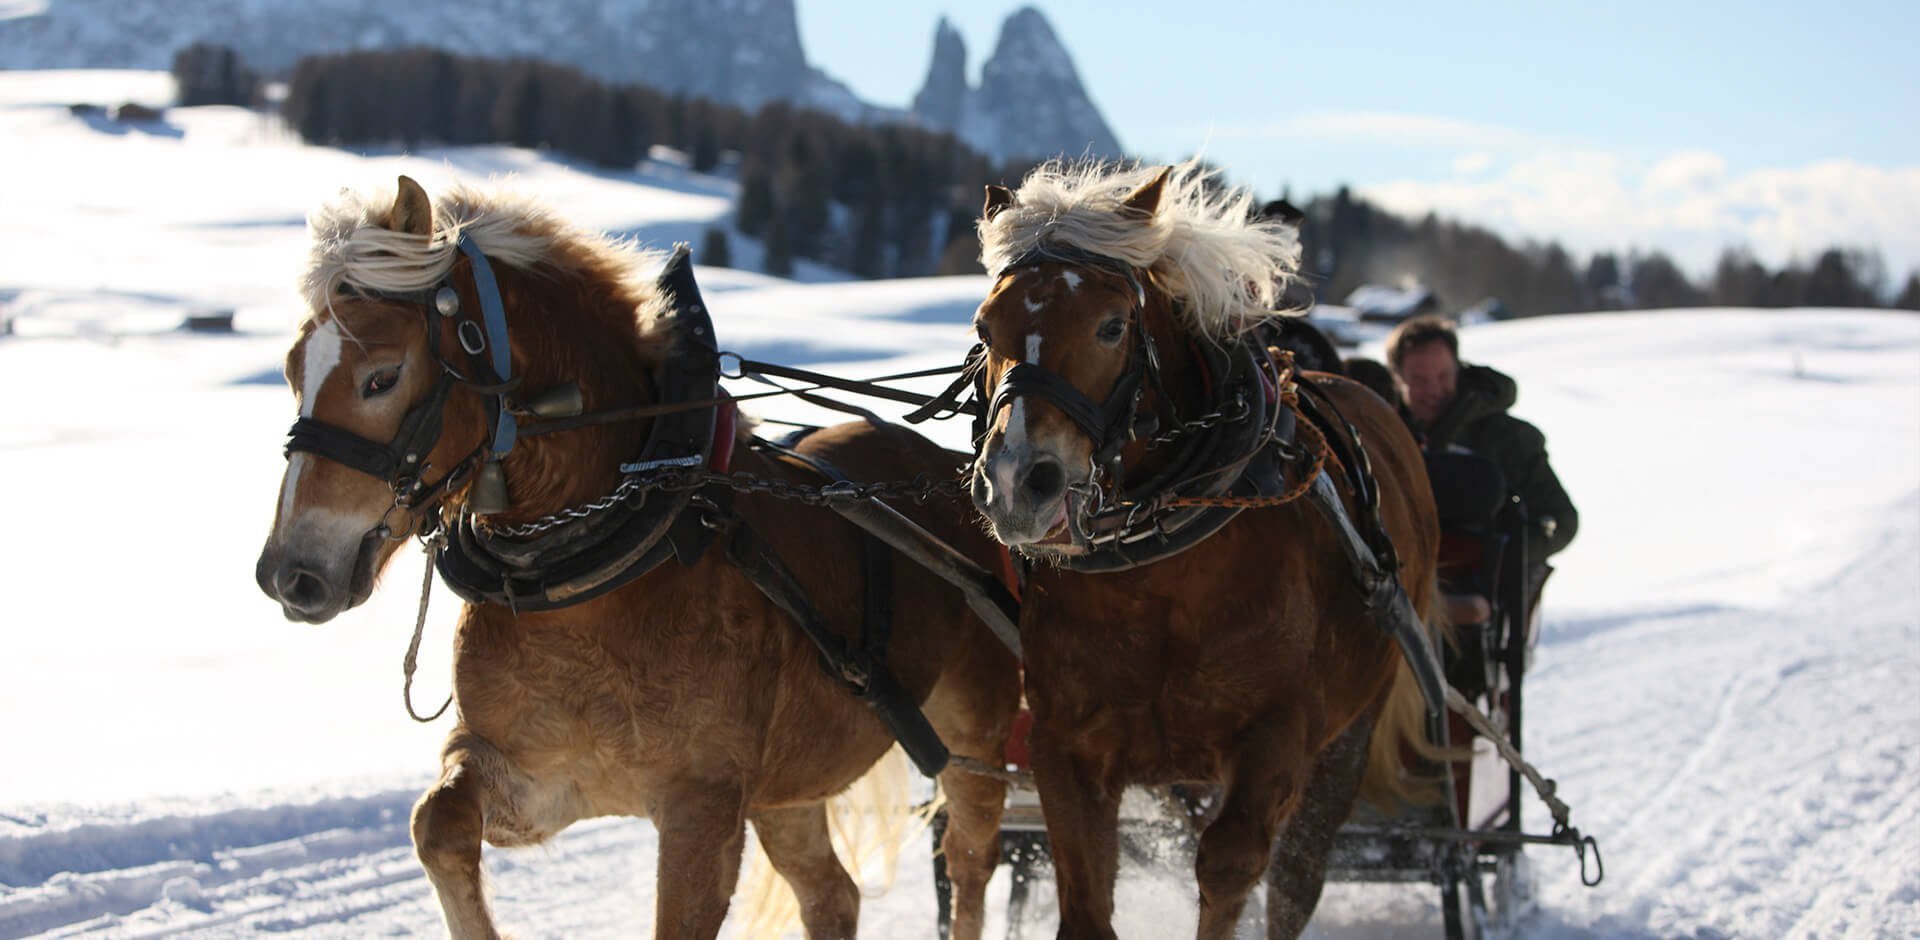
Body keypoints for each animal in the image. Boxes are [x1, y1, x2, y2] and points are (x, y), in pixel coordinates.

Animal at [261, 176, 1029, 940]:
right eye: (293, 370)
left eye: (382, 377)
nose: (288, 573)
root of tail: (953, 475)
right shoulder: (536, 772)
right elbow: (437, 824)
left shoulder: (703, 808)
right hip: (787, 787)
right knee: (831, 894)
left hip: (976, 742)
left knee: (969, 867)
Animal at [967, 163, 1443, 940]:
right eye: (985, 327)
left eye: (1112, 326)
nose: (1016, 482)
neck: (1160, 576)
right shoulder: (1065, 746)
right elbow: (1086, 902)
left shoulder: (1277, 740)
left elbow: (1228, 869)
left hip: (1351, 732)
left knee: (1295, 879)